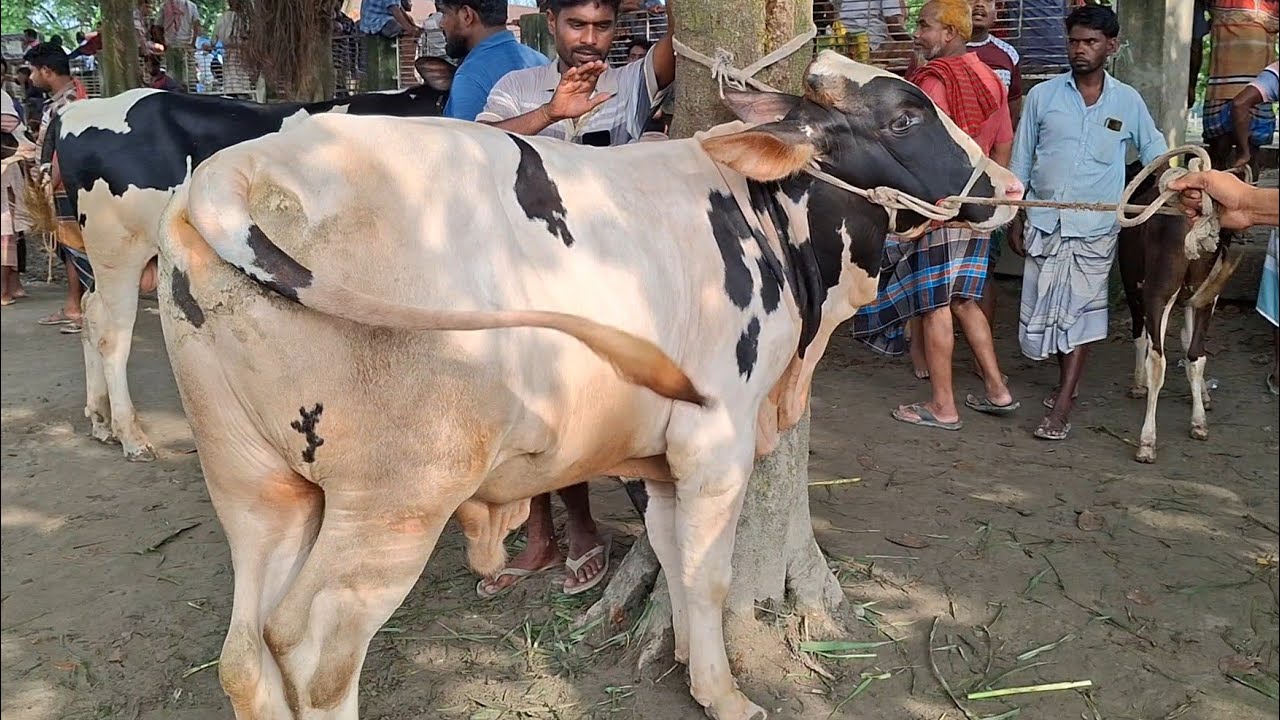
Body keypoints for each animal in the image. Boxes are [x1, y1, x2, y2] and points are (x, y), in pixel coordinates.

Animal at [44, 59, 456, 462]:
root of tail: (79, 109)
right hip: (118, 249)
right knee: (113, 335)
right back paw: (130, 435)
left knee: (92, 313)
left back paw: (101, 420)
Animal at [155, 53, 1021, 720]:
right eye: (906, 117)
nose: (1008, 186)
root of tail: (244, 166)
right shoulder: (716, 439)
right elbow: (709, 574)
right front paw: (728, 695)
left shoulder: (660, 455)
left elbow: (673, 559)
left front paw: (694, 670)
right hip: (396, 496)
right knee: (312, 650)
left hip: (254, 483)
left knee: (245, 652)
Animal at [1118, 163, 1241, 463]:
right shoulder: (1197, 298)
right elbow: (1187, 342)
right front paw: (1203, 398)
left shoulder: (1133, 285)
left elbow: (1141, 336)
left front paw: (1138, 384)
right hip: (1202, 291)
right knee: (1196, 354)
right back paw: (1199, 423)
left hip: (1157, 291)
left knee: (1157, 359)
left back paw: (1147, 441)